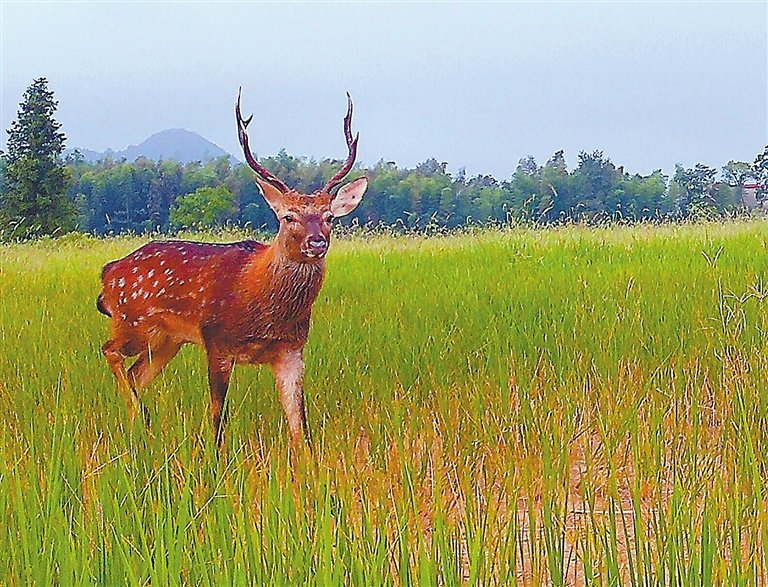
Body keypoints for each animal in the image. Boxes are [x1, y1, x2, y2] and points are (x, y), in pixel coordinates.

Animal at [97, 92, 368, 448]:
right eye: (288, 216)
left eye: (329, 217)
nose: (317, 242)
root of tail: (108, 274)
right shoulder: (216, 340)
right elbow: (217, 418)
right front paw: (215, 457)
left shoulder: (292, 350)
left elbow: (301, 426)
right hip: (132, 322)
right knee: (110, 351)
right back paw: (143, 419)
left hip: (168, 339)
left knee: (135, 374)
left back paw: (138, 430)